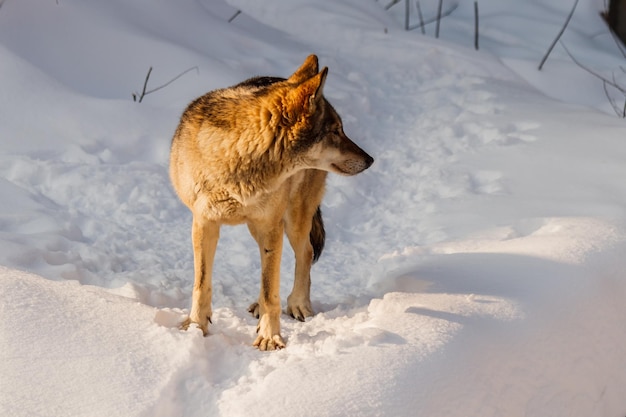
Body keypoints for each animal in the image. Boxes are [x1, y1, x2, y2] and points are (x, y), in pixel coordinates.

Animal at [168, 54, 372, 348]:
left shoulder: (270, 224)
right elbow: (202, 284)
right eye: (336, 131)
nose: (370, 159)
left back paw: (298, 304)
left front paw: (269, 337)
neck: (238, 158)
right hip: (260, 227)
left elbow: (270, 291)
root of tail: (278, 76)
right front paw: (196, 327)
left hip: (291, 220)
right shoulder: (204, 223)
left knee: (304, 253)